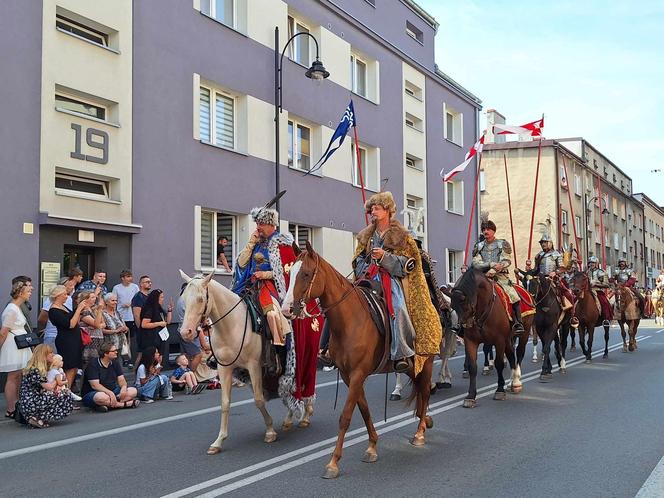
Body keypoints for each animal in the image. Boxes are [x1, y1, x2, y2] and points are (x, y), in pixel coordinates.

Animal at [176, 272, 300, 456]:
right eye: (184, 298)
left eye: (200, 298)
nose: (186, 332)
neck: (231, 325)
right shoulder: (224, 368)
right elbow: (225, 403)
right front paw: (218, 441)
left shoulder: (254, 366)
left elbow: (259, 399)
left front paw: (270, 431)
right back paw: (290, 418)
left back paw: (304, 415)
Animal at [282, 241, 434, 478]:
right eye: (290, 274)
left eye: (306, 273)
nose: (286, 309)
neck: (350, 321)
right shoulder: (348, 375)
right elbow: (363, 410)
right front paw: (372, 447)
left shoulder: (357, 374)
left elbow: (345, 416)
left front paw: (333, 463)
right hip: (410, 365)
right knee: (420, 391)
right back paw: (425, 420)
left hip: (425, 363)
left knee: (425, 392)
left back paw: (419, 434)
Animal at [448, 268, 532, 404]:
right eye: (452, 306)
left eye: (466, 304)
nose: (463, 326)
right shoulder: (470, 340)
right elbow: (472, 367)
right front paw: (471, 396)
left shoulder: (499, 340)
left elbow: (499, 363)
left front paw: (499, 390)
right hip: (509, 339)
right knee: (511, 356)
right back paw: (511, 383)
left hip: (523, 333)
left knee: (519, 353)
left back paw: (516, 382)